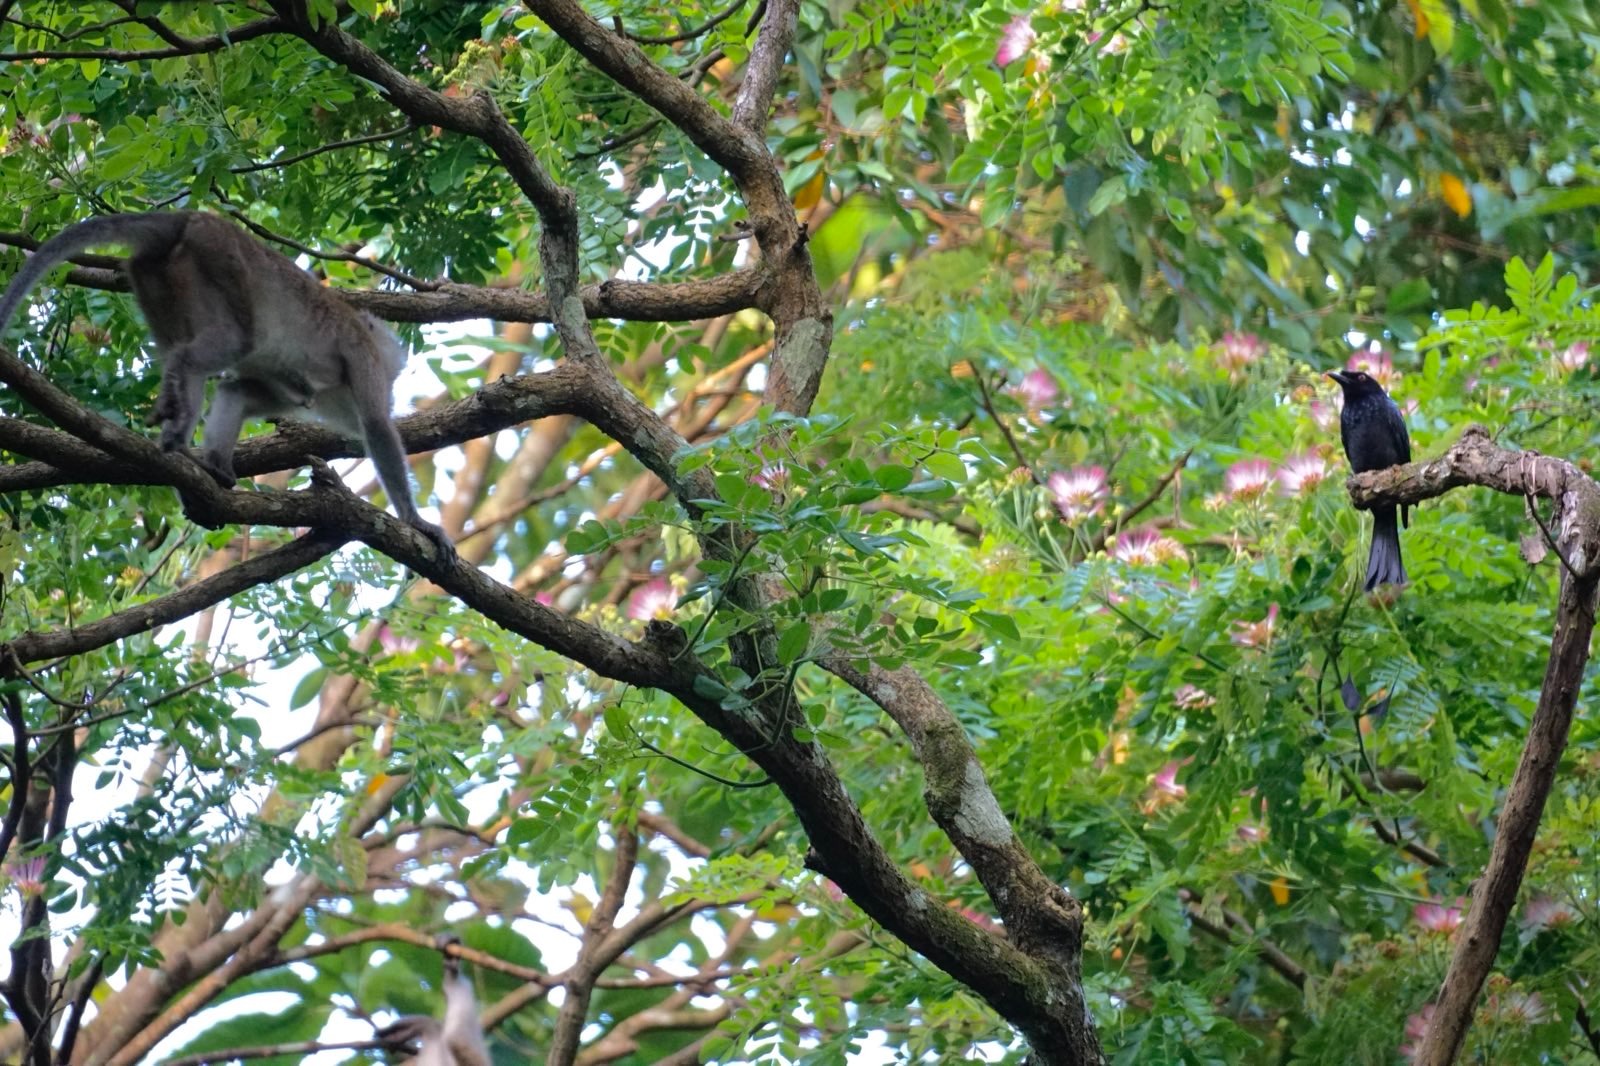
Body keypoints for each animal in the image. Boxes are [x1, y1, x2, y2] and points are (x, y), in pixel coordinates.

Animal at [0, 208, 454, 557]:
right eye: (389, 363)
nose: (396, 376)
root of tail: (187, 217)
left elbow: (240, 391)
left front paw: (217, 459)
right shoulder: (362, 356)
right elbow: (376, 427)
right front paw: (417, 522)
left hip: (157, 276)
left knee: (188, 348)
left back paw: (195, 456)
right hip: (218, 258)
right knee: (233, 340)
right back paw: (183, 403)